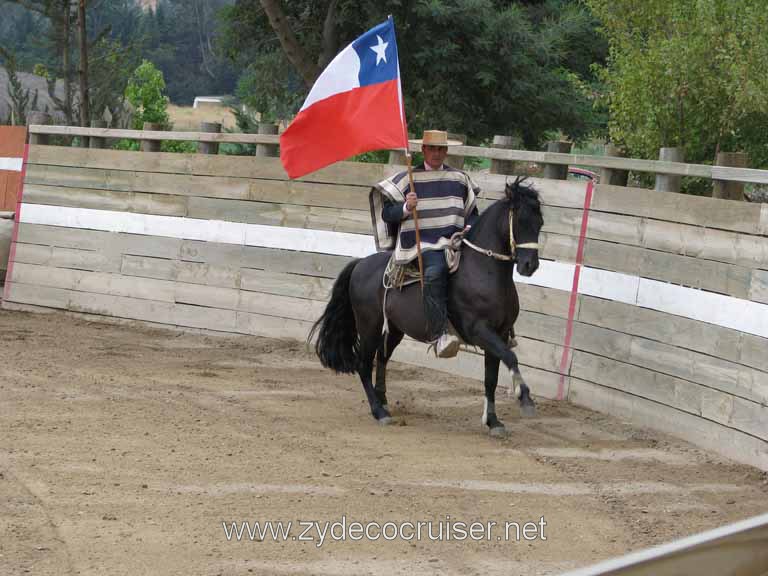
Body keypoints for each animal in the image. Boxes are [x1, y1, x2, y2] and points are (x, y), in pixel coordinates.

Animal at [308, 180, 544, 436]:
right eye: (520, 220)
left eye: (540, 223)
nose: (530, 265)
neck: (482, 271)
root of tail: (360, 264)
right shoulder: (480, 331)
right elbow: (511, 357)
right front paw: (525, 398)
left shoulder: (499, 334)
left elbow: (491, 377)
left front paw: (493, 421)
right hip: (369, 326)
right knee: (363, 364)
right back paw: (379, 412)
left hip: (394, 330)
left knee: (382, 358)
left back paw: (383, 401)